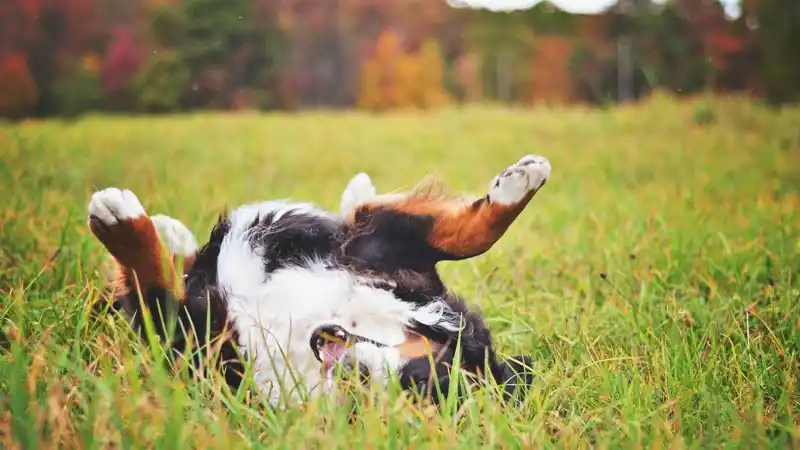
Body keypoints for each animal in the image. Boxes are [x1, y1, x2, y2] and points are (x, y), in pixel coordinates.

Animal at [87, 153, 552, 406]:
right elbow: (468, 235)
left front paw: (120, 225)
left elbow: (157, 297)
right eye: (421, 379)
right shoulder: (385, 252)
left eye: (416, 391)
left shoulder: (201, 346)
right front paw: (520, 184)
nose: (355, 373)